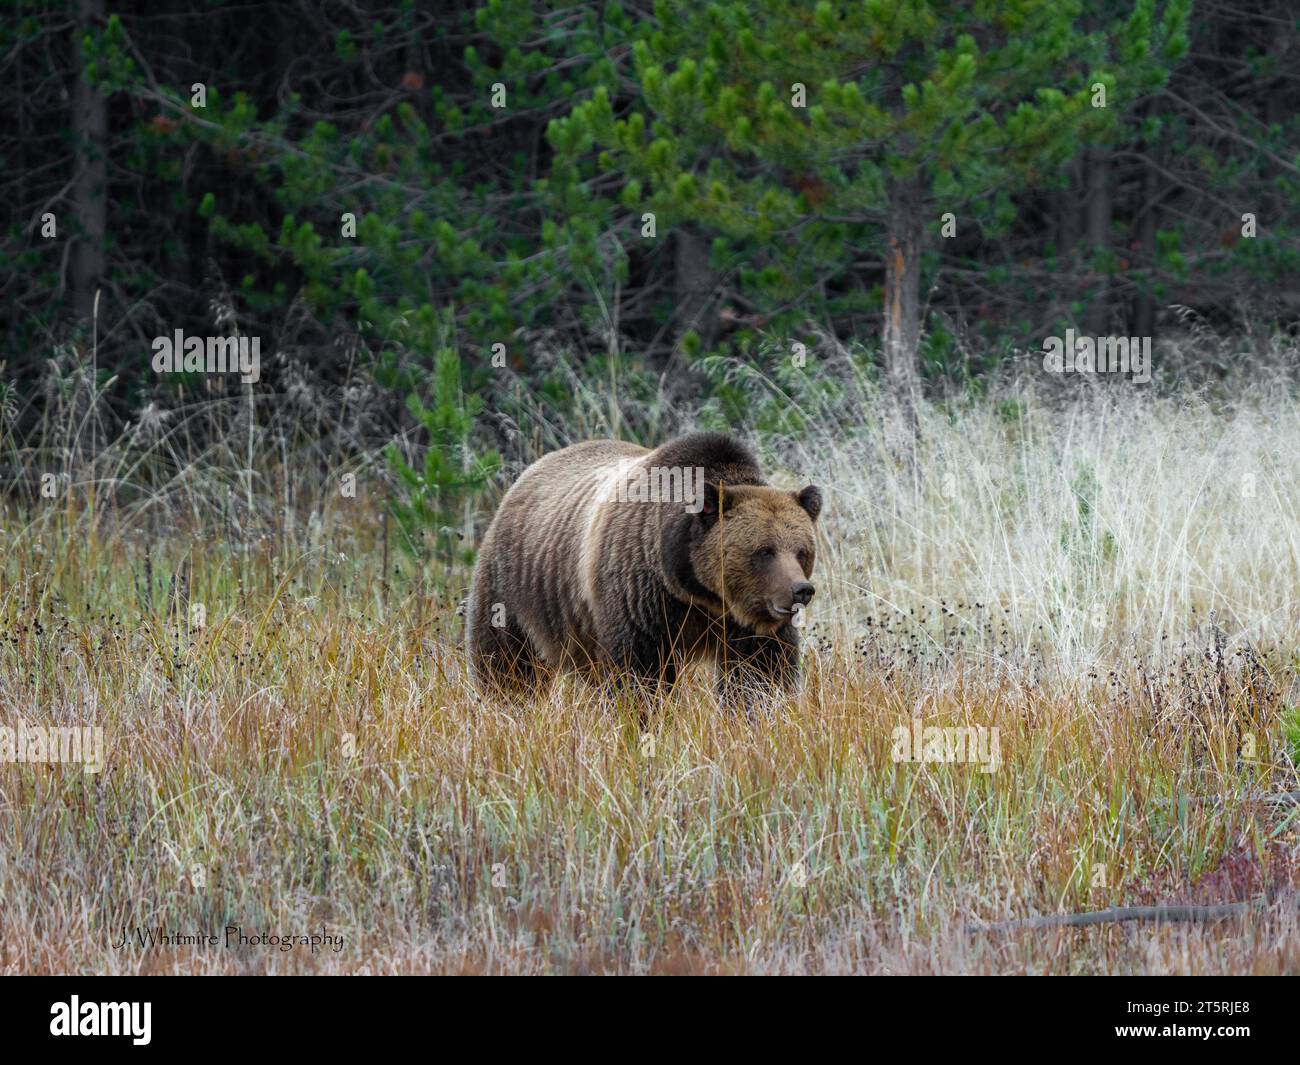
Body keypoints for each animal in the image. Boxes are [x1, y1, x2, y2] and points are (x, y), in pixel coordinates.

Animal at [467, 429, 821, 702]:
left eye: (802, 551)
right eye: (764, 551)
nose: (800, 590)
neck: (698, 590)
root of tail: (527, 473)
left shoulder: (744, 622)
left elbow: (759, 673)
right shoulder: (640, 592)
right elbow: (640, 672)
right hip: (515, 588)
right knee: (507, 661)